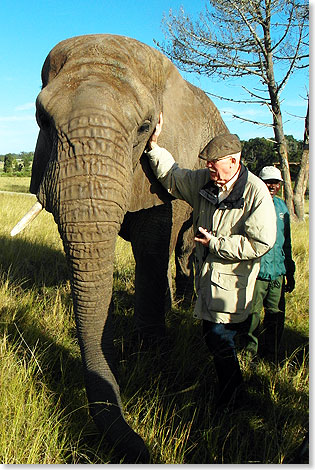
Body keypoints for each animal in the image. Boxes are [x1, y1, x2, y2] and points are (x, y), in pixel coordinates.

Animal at [19, 35, 230, 460]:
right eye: (41, 120)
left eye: (146, 128)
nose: (146, 450)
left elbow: (152, 246)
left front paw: (152, 359)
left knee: (183, 247)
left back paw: (180, 305)